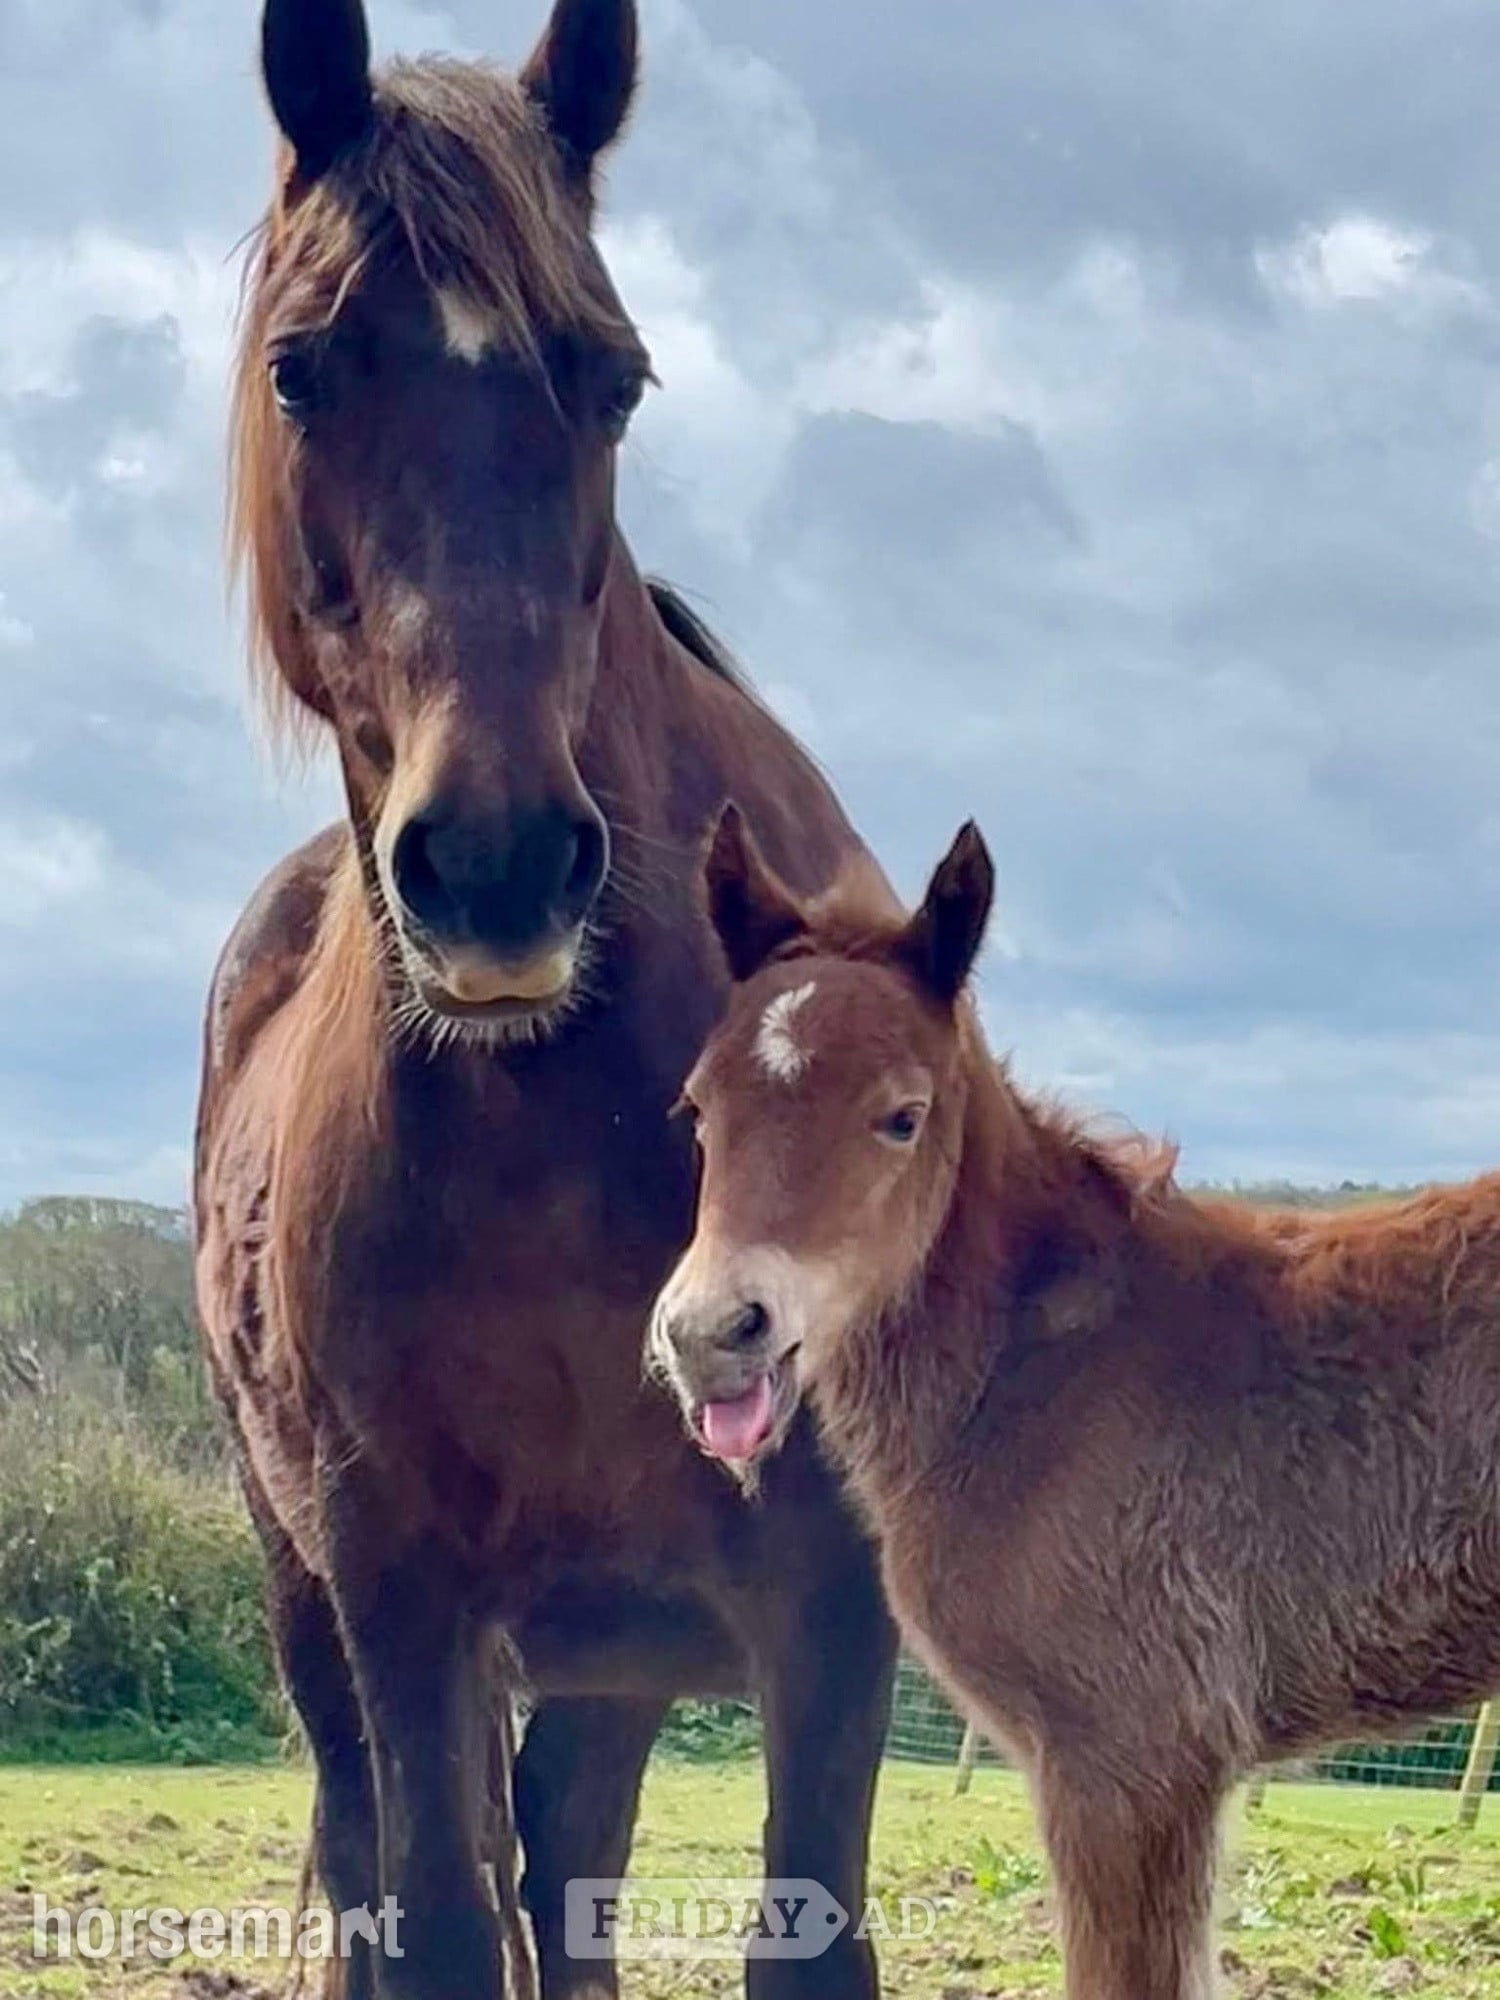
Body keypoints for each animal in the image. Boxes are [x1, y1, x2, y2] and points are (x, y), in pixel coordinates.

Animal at [193, 5, 900, 1995]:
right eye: (300, 372)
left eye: (615, 381)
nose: (499, 866)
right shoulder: (403, 1593)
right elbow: (434, 1918)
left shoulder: (827, 1615)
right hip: (324, 1611)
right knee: (382, 1870)